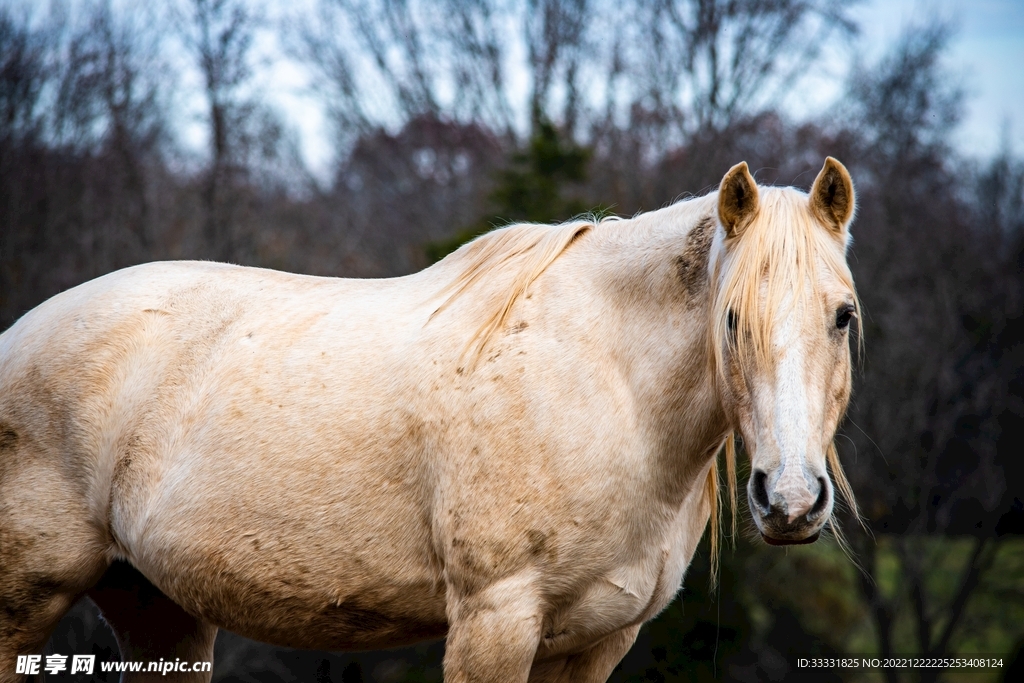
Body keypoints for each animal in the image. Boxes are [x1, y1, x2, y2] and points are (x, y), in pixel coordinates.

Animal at [0, 158, 860, 682]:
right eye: (731, 320)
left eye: (843, 315)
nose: (789, 500)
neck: (608, 380)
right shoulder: (494, 619)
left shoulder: (594, 643)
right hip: (24, 604)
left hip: (157, 607)